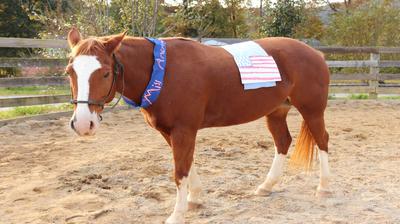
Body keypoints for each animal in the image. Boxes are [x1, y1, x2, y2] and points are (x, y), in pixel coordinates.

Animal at [66, 28, 332, 224]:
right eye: (70, 71)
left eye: (105, 73)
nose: (83, 123)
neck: (162, 71)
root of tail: (316, 54)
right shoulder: (170, 132)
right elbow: (186, 164)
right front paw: (194, 199)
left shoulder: (184, 130)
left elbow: (179, 171)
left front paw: (177, 214)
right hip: (276, 112)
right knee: (283, 142)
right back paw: (266, 186)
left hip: (312, 111)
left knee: (322, 141)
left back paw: (323, 189)